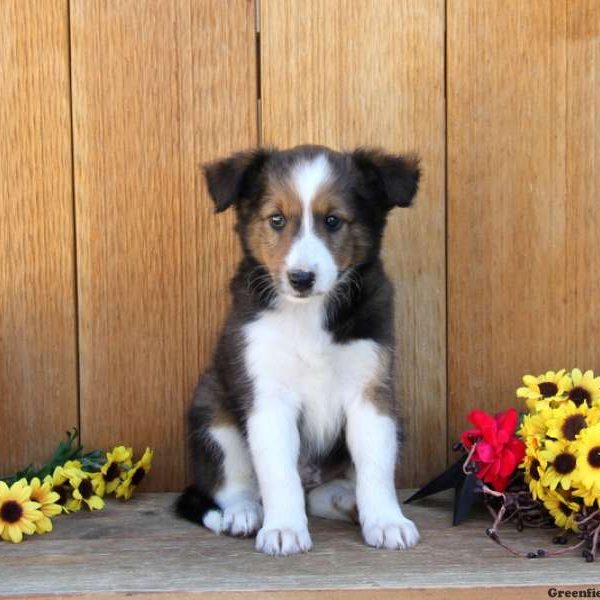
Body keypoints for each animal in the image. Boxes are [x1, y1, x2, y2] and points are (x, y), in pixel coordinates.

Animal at [177, 143, 422, 556]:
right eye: (276, 219)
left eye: (334, 221)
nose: (301, 279)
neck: (309, 313)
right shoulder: (269, 396)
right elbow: (278, 473)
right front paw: (284, 530)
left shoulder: (371, 391)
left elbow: (375, 467)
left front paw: (387, 522)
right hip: (212, 406)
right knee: (233, 482)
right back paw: (244, 514)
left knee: (325, 493)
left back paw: (347, 501)